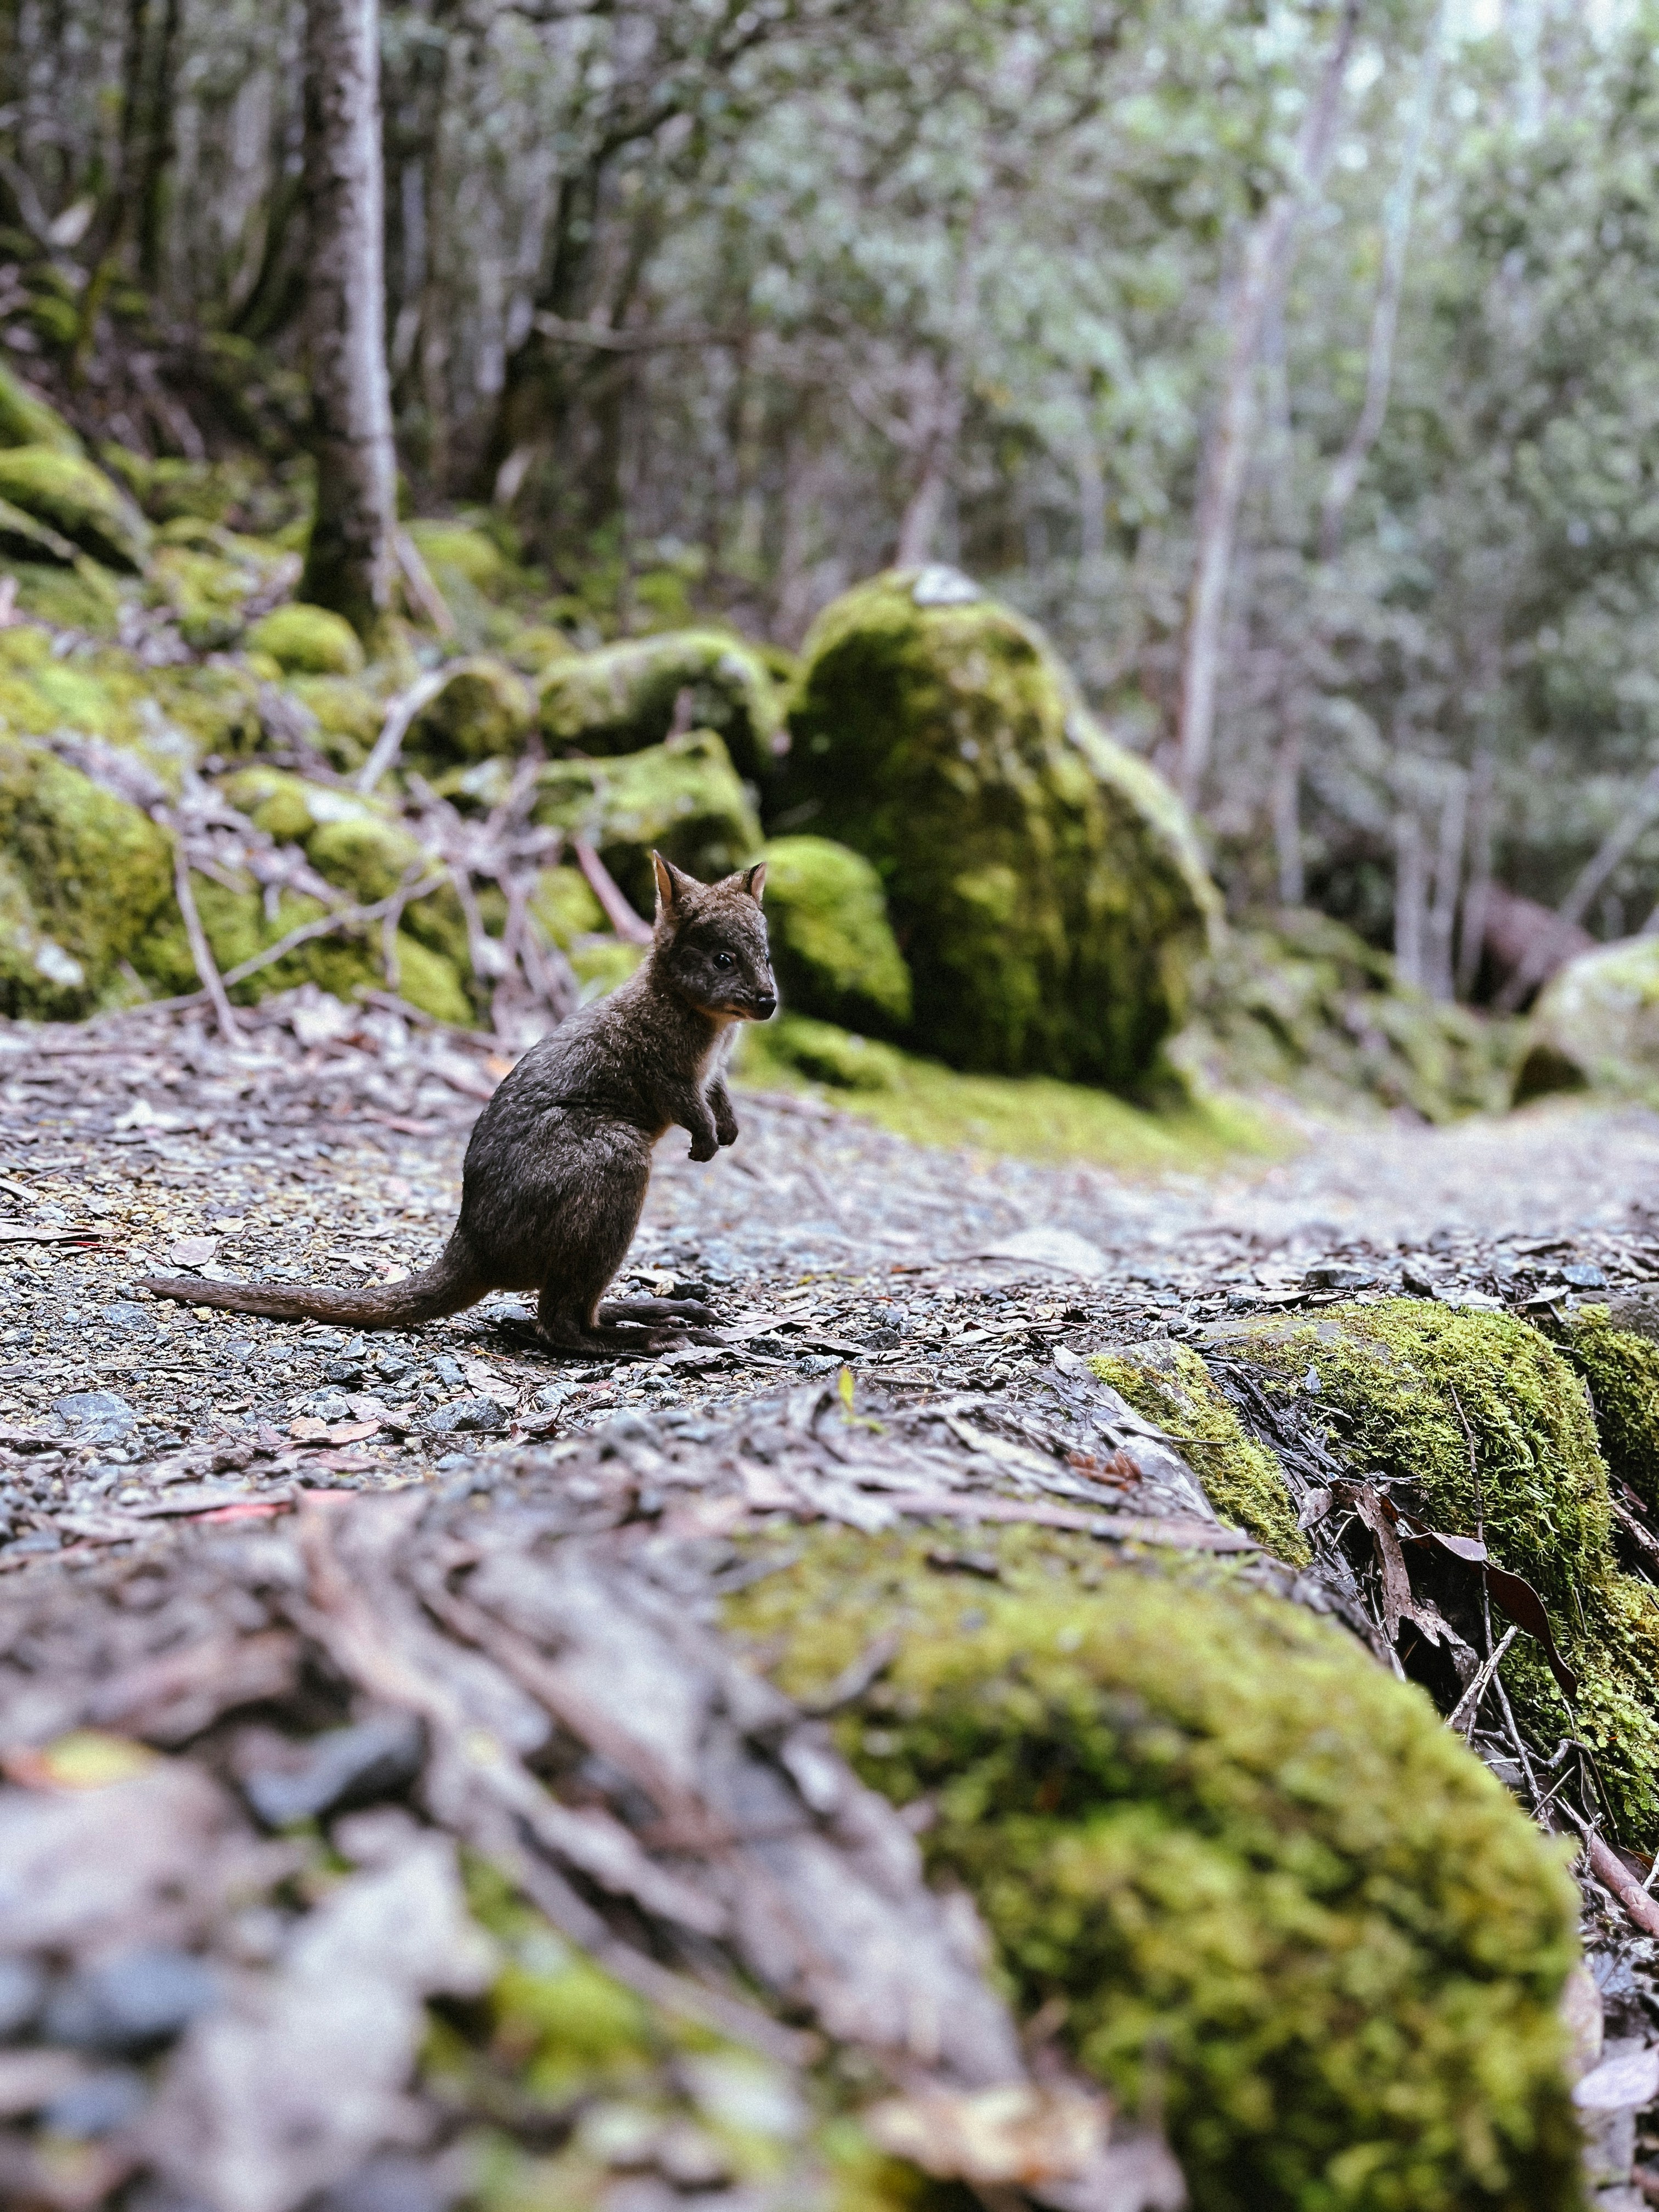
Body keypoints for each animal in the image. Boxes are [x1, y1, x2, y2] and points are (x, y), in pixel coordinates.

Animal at [140, 851, 776, 1356]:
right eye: (723, 959)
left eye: (766, 955)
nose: (769, 1003)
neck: (703, 1017)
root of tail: (474, 1246)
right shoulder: (662, 1070)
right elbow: (686, 1103)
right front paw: (707, 1144)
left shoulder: (712, 1073)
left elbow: (717, 1098)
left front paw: (729, 1132)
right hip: (608, 1157)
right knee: (559, 1325)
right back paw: (649, 1339)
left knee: (566, 1310)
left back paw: (656, 1312)